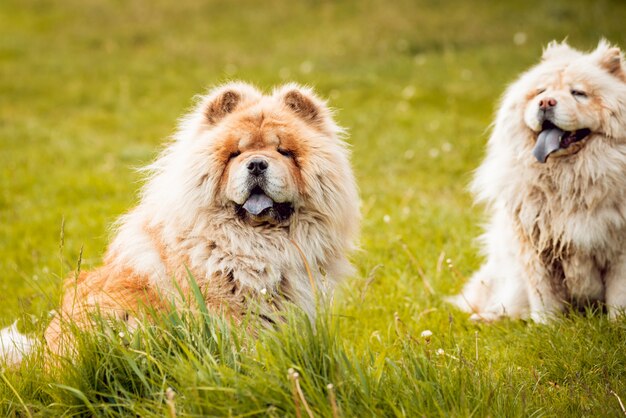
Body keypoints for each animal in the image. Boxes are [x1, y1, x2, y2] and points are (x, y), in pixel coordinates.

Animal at [446, 40, 624, 324]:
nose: (545, 102)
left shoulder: (618, 250)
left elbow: (619, 298)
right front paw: (549, 327)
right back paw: (486, 319)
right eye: (541, 91)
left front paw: (618, 325)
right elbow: (544, 297)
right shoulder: (536, 249)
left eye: (578, 93)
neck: (569, 180)